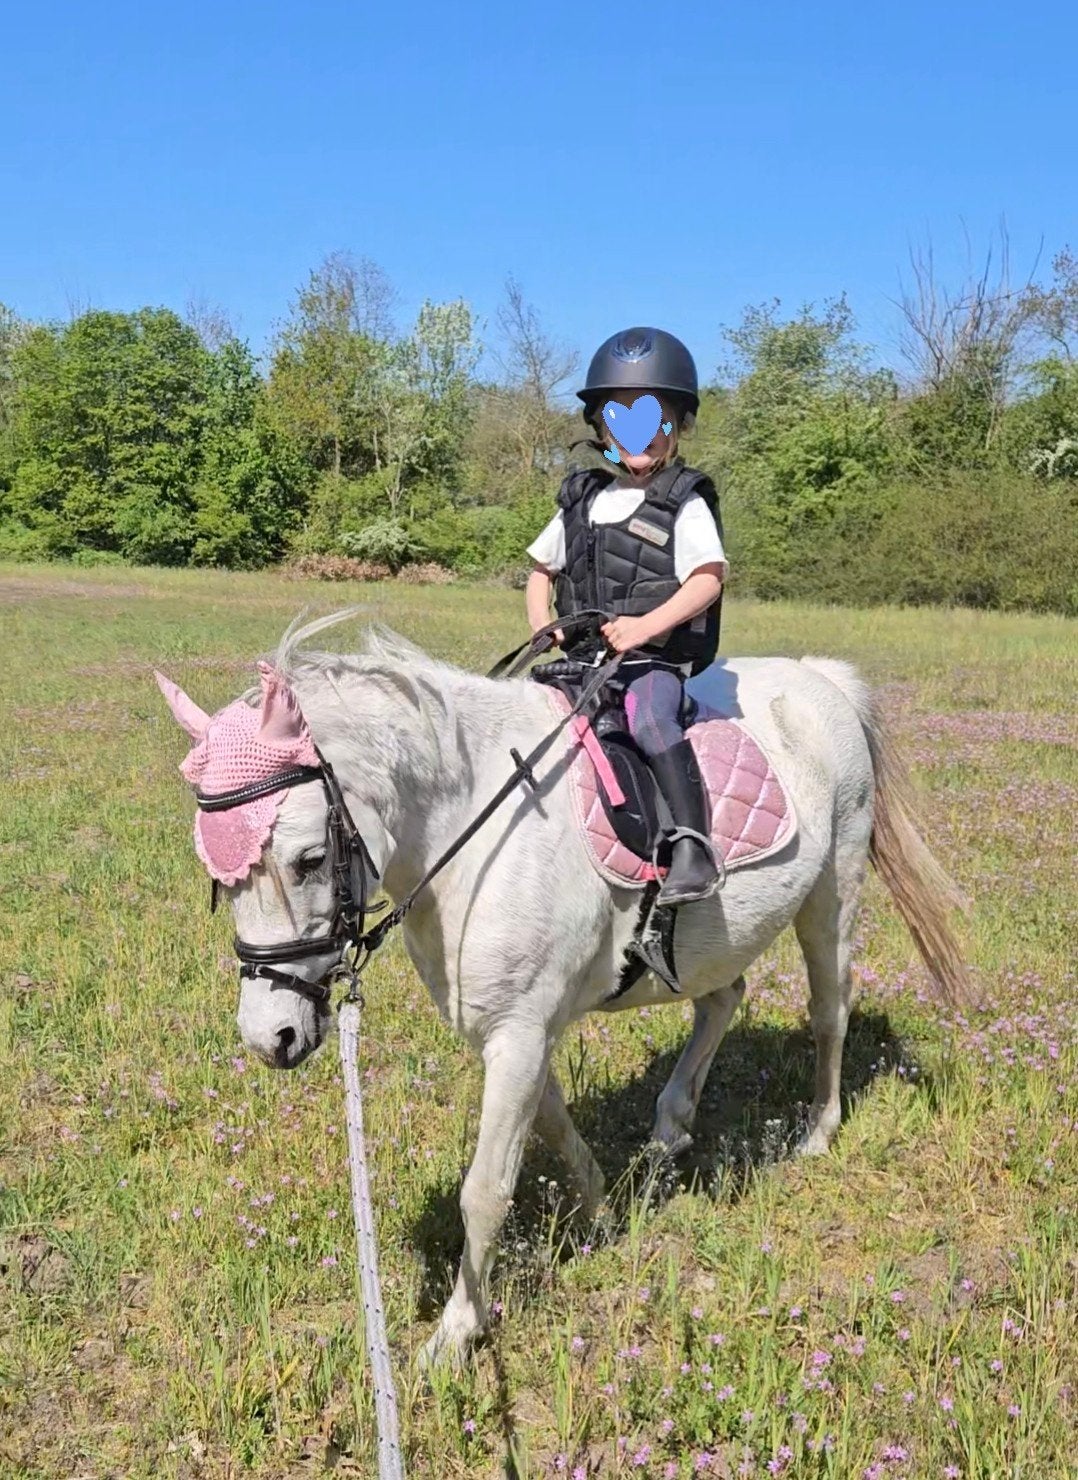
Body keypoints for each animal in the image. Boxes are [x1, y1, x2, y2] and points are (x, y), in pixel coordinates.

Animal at [155, 610, 970, 1368]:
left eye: (309, 858)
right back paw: (670, 1129)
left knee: (829, 1009)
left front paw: (455, 1335)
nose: (272, 1037)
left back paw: (817, 1132)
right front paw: (603, 1215)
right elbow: (550, 1128)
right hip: (715, 934)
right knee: (723, 998)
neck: (476, 827)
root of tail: (820, 677)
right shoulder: (518, 1028)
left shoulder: (518, 1034)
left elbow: (486, 1189)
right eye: (217, 877)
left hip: (833, 891)